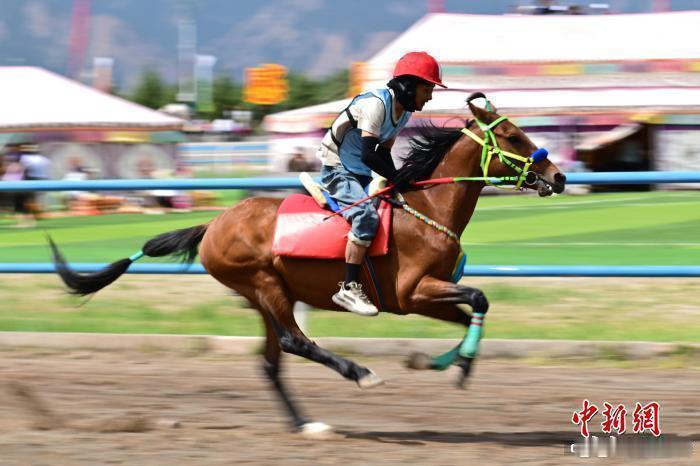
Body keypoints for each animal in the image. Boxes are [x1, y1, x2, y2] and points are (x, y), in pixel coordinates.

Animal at [48, 94, 566, 437]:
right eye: (514, 136)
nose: (558, 176)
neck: (427, 209)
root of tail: (214, 222)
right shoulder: (412, 291)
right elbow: (479, 297)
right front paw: (451, 364)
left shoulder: (427, 296)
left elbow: (467, 313)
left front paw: (441, 362)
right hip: (264, 285)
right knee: (295, 341)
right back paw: (359, 373)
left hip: (264, 296)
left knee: (271, 361)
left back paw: (305, 422)